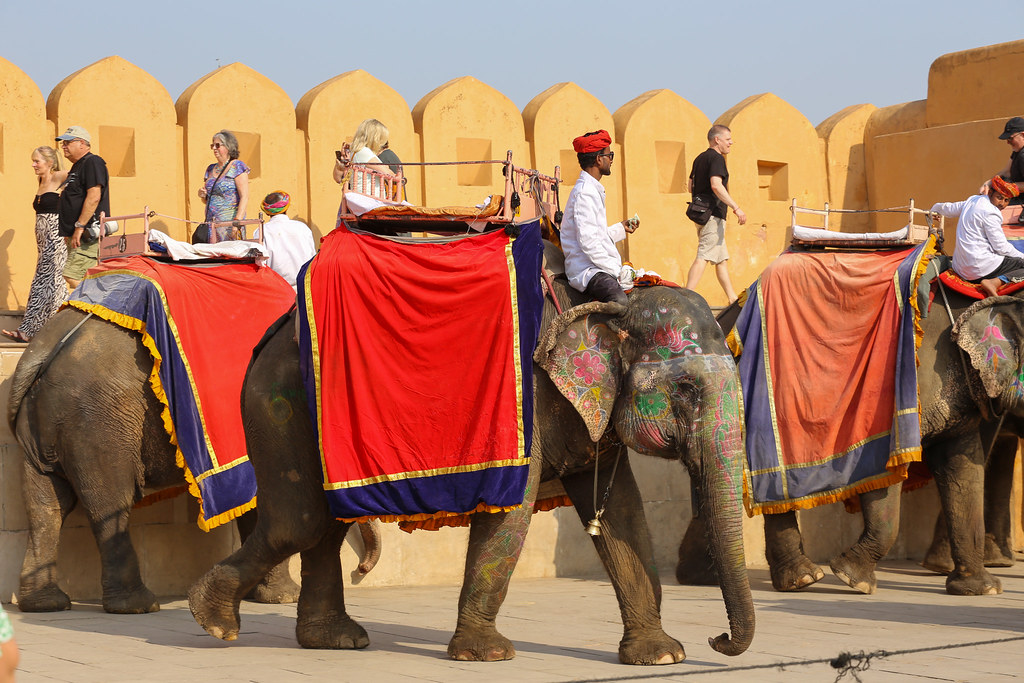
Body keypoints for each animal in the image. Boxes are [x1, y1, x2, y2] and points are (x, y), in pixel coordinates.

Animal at [7, 309, 380, 614]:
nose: (360, 571)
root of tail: (41, 351)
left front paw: (263, 595)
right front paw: (282, 597)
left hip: (49, 424)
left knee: (46, 504)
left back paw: (45, 604)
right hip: (99, 422)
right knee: (109, 503)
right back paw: (138, 606)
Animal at [188, 274, 757, 663]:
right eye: (686, 389)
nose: (718, 638)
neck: (611, 305)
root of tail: (264, 338)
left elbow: (623, 515)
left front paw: (662, 655)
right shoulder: (527, 403)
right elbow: (513, 510)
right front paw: (487, 655)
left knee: (322, 523)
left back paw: (333, 641)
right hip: (277, 404)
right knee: (300, 521)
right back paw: (213, 622)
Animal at [675, 286, 1019, 593]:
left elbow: (964, 470)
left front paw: (983, 589)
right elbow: (884, 472)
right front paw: (852, 579)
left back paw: (704, 578)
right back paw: (802, 579)